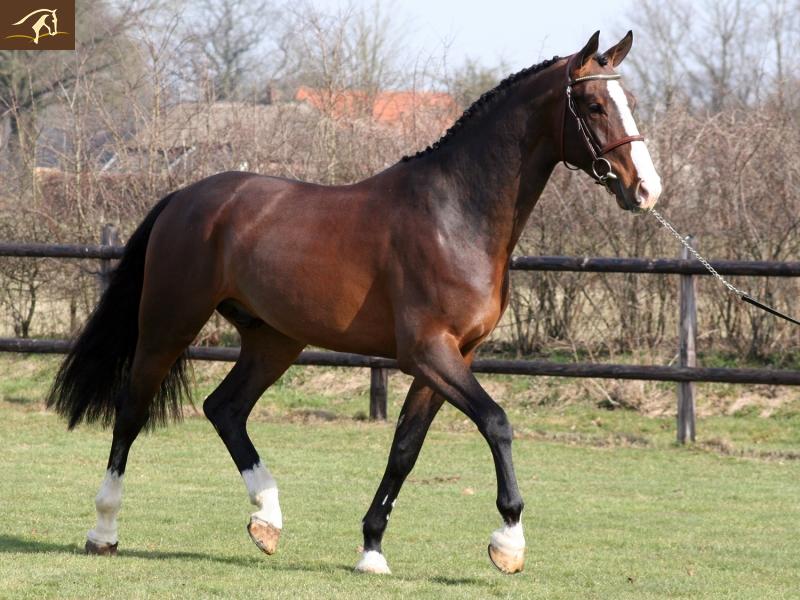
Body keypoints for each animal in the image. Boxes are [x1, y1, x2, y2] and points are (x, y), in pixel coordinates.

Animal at [47, 31, 661, 575]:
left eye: (628, 102)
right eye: (593, 104)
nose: (646, 190)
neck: (454, 214)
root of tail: (182, 196)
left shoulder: (452, 358)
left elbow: (405, 449)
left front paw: (371, 549)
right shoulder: (429, 353)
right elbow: (497, 421)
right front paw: (508, 541)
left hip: (274, 340)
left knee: (225, 408)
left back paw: (267, 520)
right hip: (168, 324)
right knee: (131, 411)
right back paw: (103, 531)